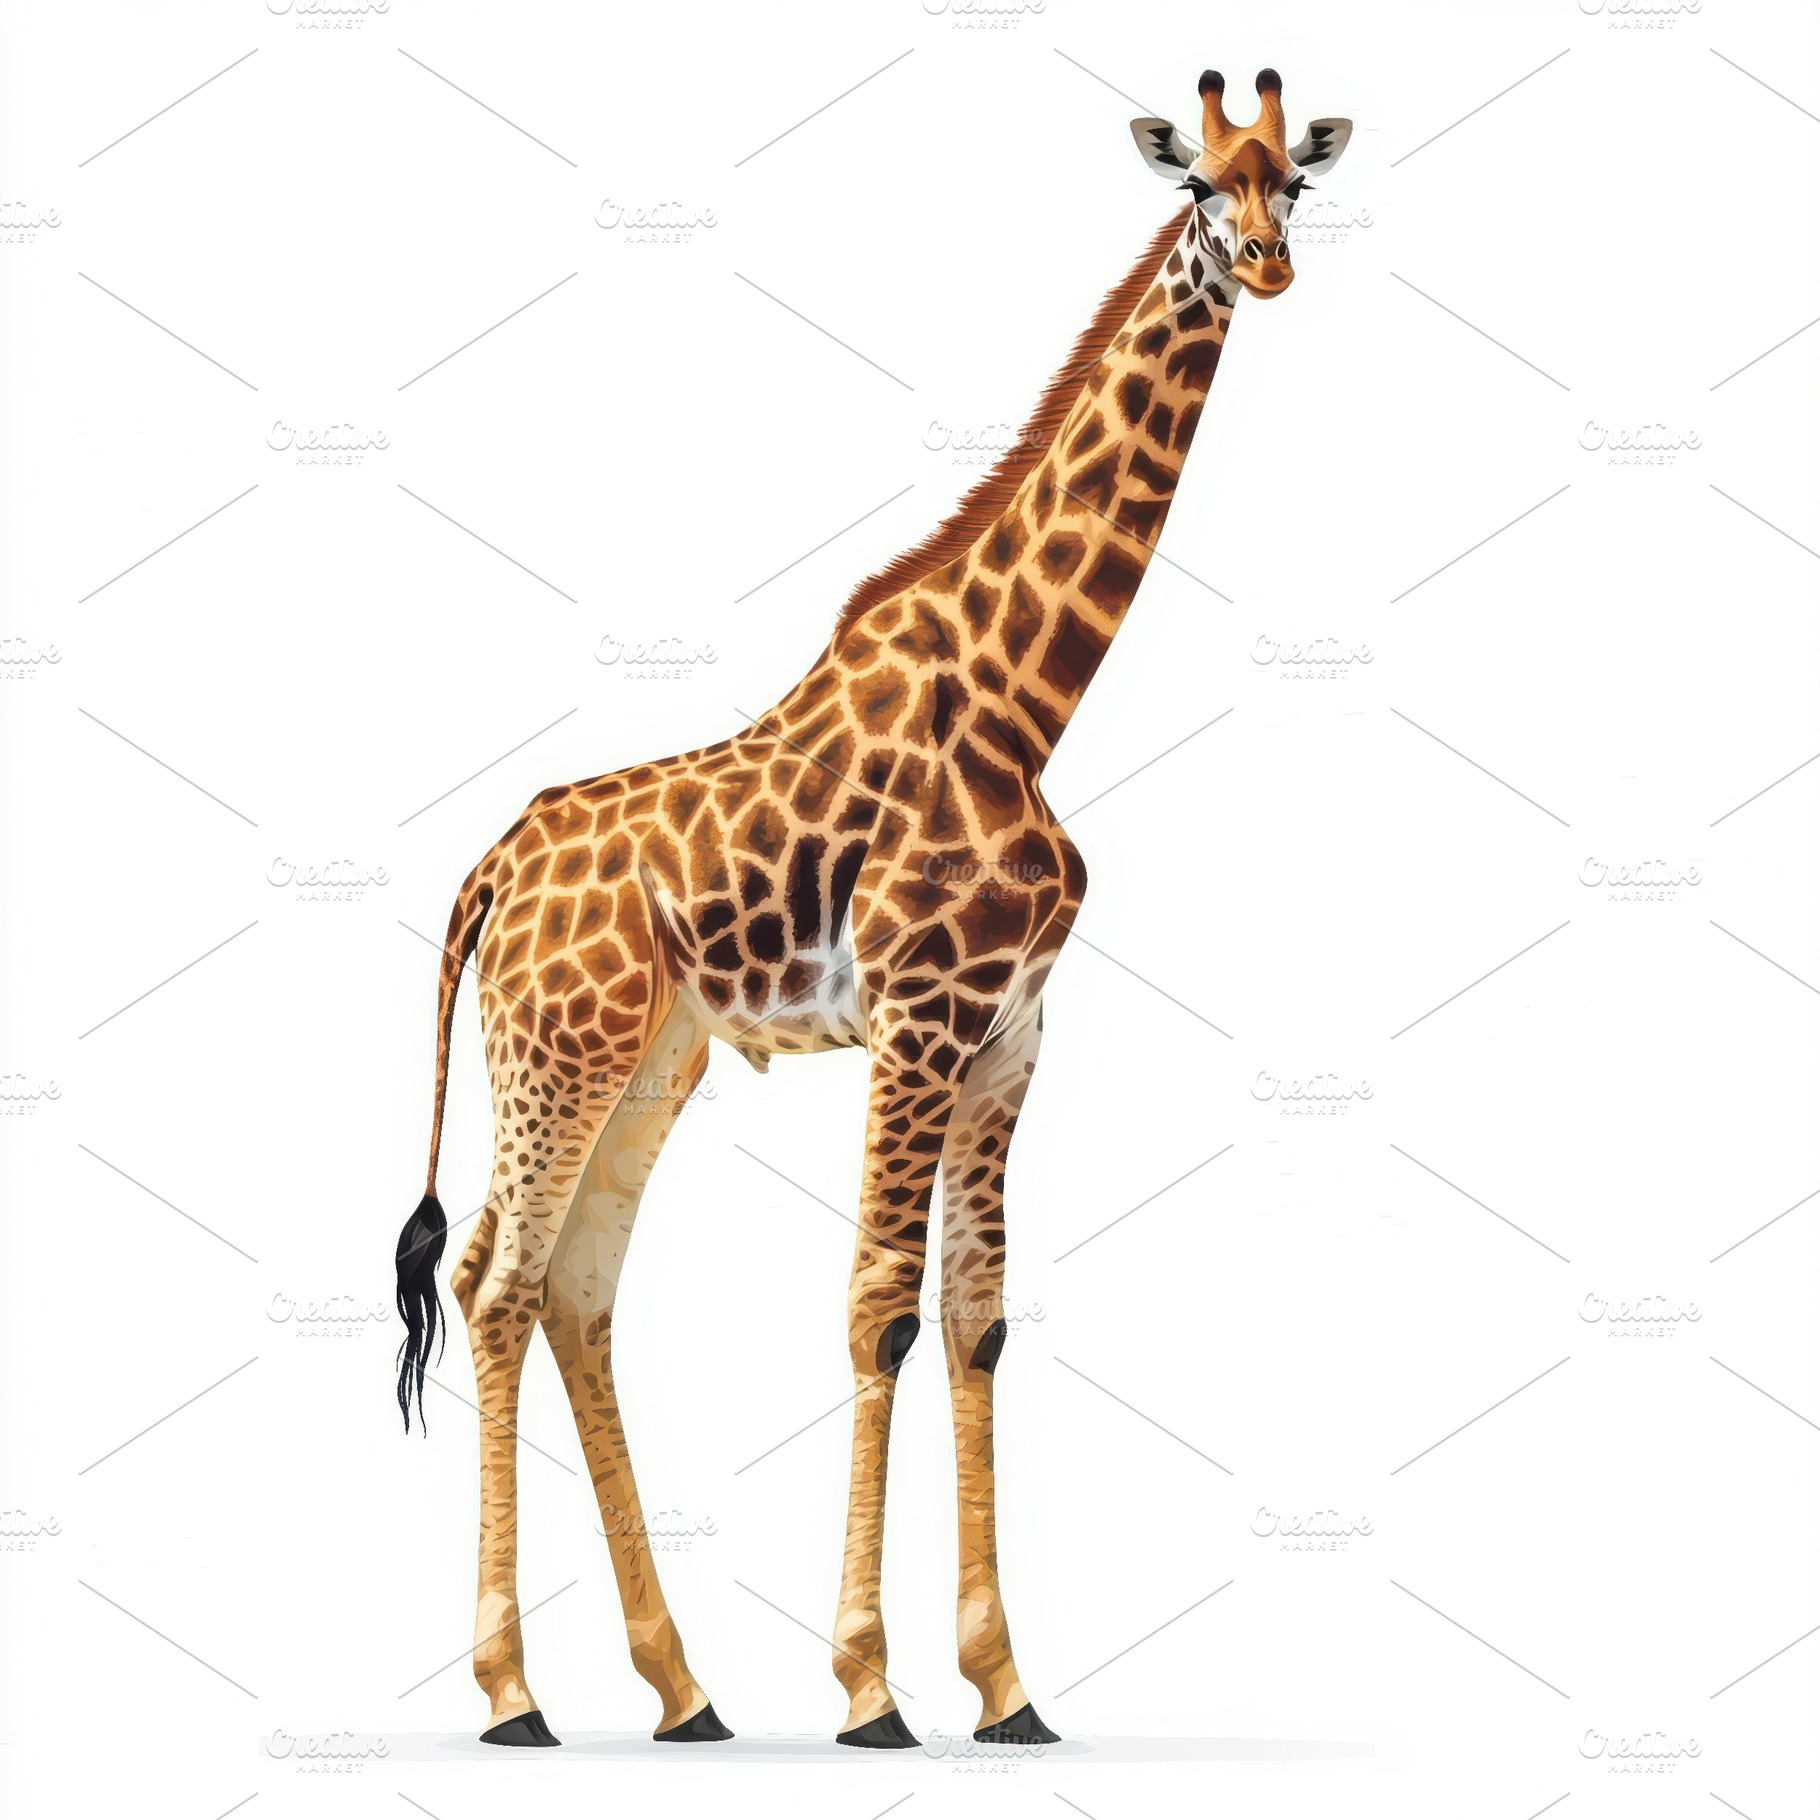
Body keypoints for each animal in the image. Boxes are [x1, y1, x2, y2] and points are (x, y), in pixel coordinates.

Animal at [392, 67, 1352, 1749]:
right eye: (1198, 187)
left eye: (1291, 180)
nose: (1267, 263)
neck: (1028, 707)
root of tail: (490, 869)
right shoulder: (921, 1016)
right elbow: (880, 1312)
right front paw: (867, 1687)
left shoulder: (1011, 1036)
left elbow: (977, 1317)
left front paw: (1008, 1688)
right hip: (559, 1055)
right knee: (497, 1285)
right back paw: (513, 1695)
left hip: (644, 1061)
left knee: (570, 1286)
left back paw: (683, 1690)